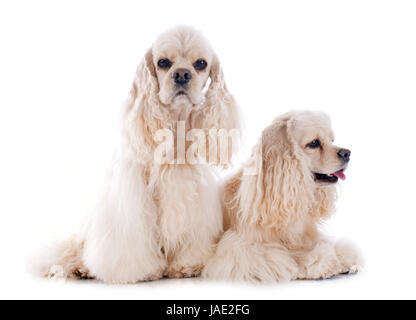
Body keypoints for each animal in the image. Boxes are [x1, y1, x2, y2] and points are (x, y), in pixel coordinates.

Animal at [35, 25, 240, 284]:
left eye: (201, 63)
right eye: (163, 62)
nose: (182, 74)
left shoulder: (194, 198)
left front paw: (186, 265)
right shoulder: (132, 202)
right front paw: (143, 271)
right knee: (70, 253)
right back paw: (78, 268)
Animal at [203, 111, 362, 282]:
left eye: (332, 140)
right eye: (314, 143)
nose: (347, 153)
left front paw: (343, 259)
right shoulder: (239, 250)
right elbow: (288, 256)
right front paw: (318, 262)